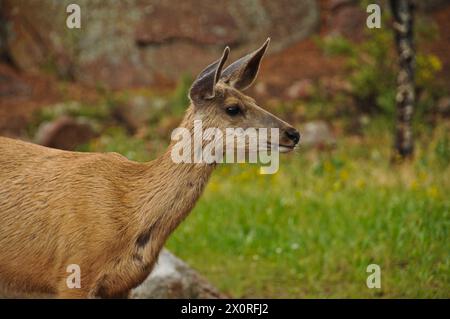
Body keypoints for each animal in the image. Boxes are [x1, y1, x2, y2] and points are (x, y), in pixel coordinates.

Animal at [1, 38, 300, 298]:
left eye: (254, 102)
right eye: (233, 108)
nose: (293, 133)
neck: (130, 211)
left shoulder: (122, 285)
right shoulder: (73, 272)